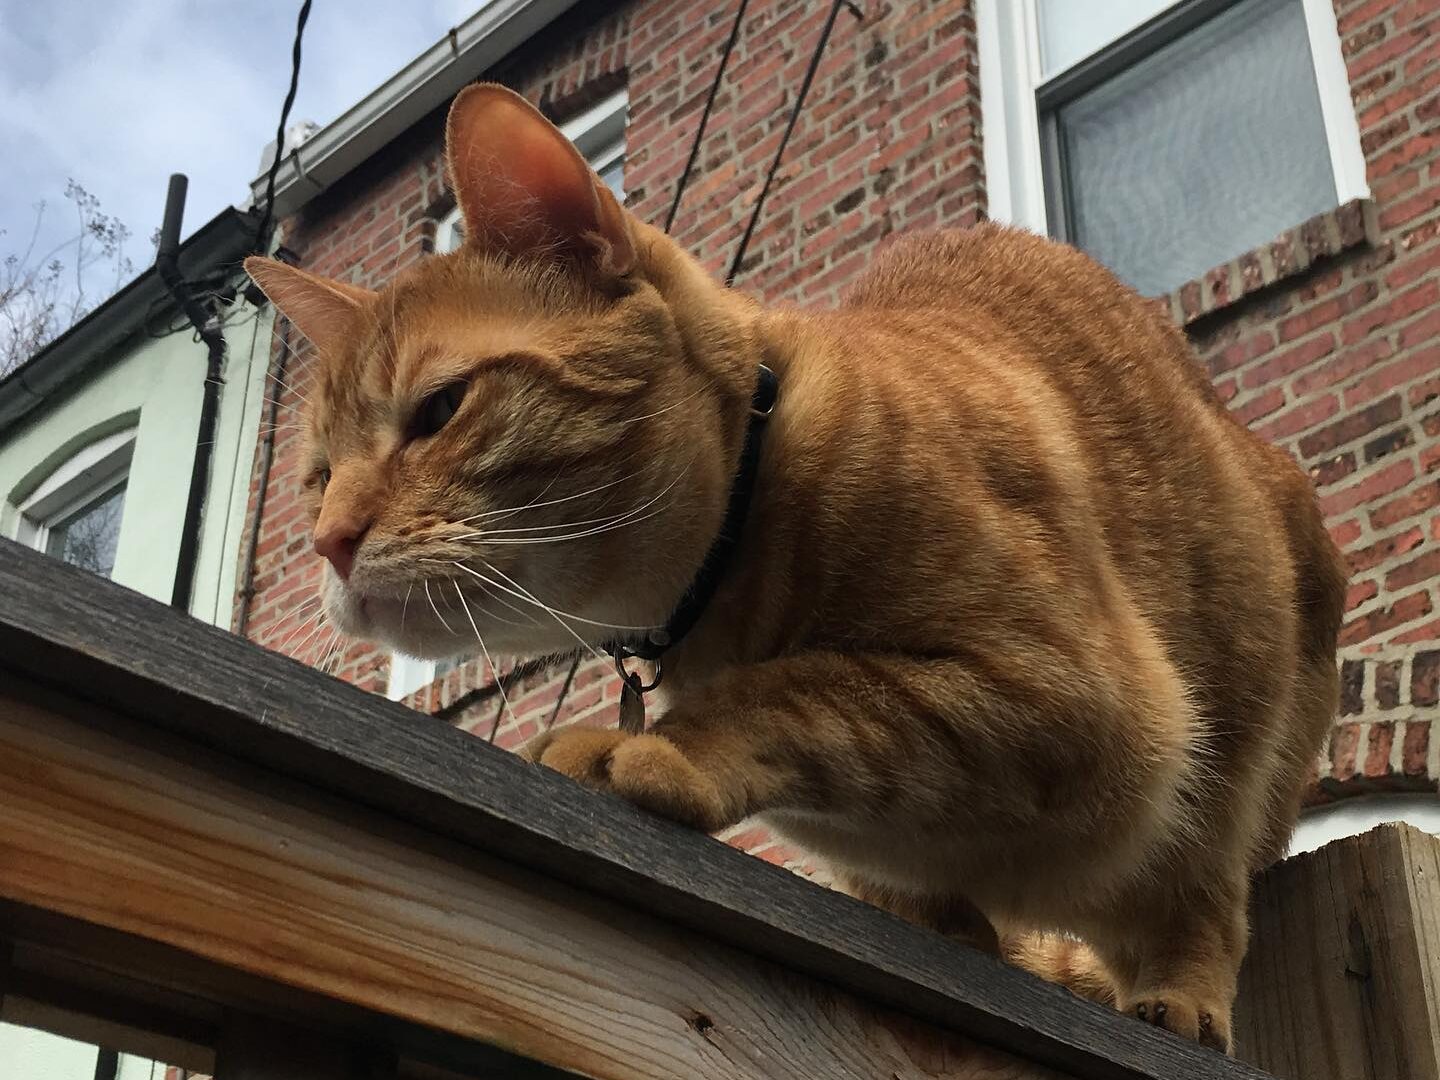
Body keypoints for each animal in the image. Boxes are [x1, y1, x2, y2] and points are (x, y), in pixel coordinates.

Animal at [244, 84, 1336, 1059]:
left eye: (439, 410)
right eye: (318, 477)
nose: (331, 540)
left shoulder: (1080, 699)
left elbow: (811, 689)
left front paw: (666, 745)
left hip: (1244, 717)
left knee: (1207, 896)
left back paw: (1177, 996)